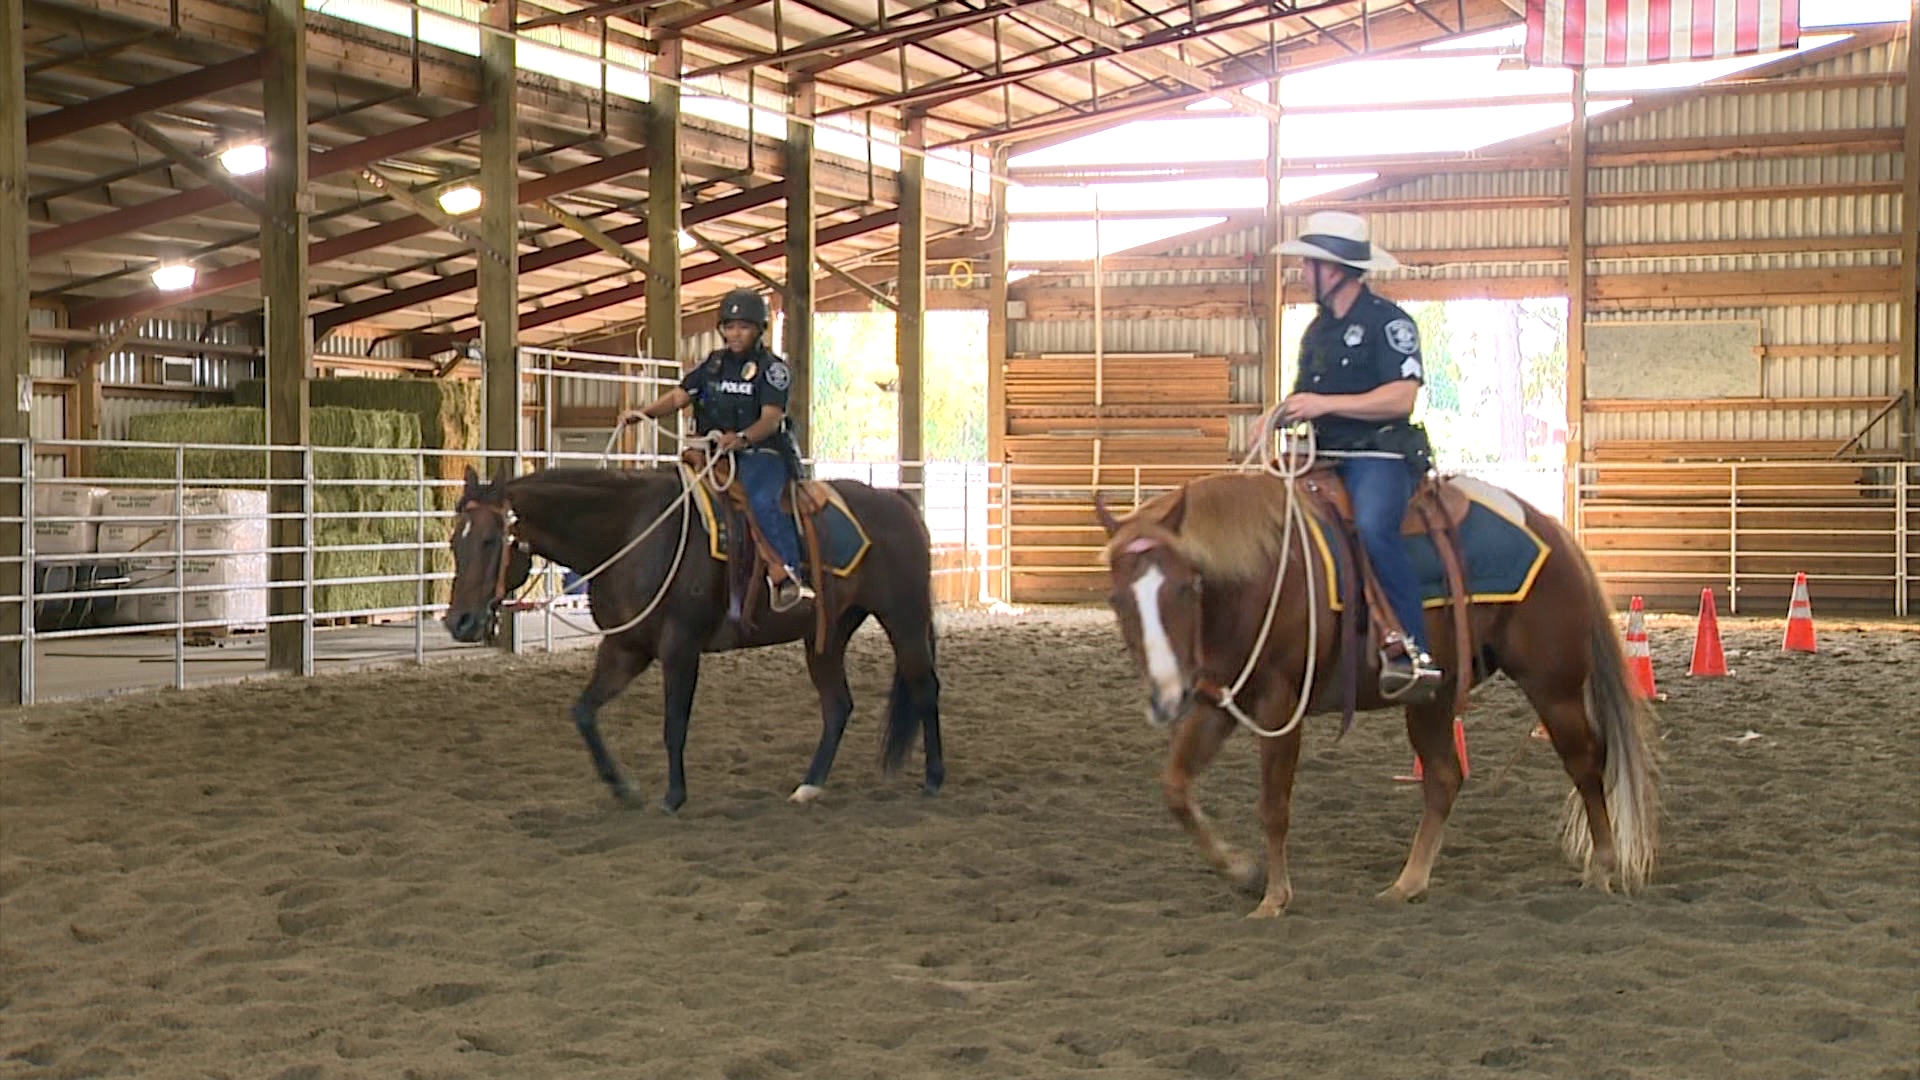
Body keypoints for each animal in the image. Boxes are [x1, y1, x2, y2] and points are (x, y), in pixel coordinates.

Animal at [441, 461, 936, 807]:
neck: (631, 535)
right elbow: (583, 712)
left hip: (904, 617)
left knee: (924, 685)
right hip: (828, 635)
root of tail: (898, 501)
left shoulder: (680, 647)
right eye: (453, 542)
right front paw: (623, 788)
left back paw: (934, 779)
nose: (458, 621)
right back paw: (809, 787)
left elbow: (674, 723)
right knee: (838, 705)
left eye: (490, 540)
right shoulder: (626, 647)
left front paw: (673, 796)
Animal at [1105, 470, 1658, 914]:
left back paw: (1602, 867)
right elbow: (1176, 787)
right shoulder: (1219, 700)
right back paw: (1407, 883)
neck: (1263, 574)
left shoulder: (1281, 706)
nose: (1165, 695)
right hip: (1435, 695)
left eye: (1185, 587)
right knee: (1444, 778)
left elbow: (1273, 805)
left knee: (1586, 762)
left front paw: (1275, 897)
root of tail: (1551, 530)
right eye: (1117, 598)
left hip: (1553, 687)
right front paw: (1242, 872)